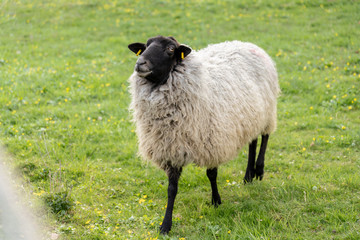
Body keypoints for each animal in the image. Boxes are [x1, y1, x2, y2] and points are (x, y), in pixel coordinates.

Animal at [128, 35, 280, 234]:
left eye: (170, 49)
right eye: (145, 46)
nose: (140, 63)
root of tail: (247, 43)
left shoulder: (211, 140)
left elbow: (212, 175)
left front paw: (216, 201)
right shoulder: (172, 148)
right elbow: (172, 189)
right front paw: (165, 225)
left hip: (268, 111)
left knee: (265, 137)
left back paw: (259, 170)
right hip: (251, 116)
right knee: (253, 142)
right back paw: (248, 176)